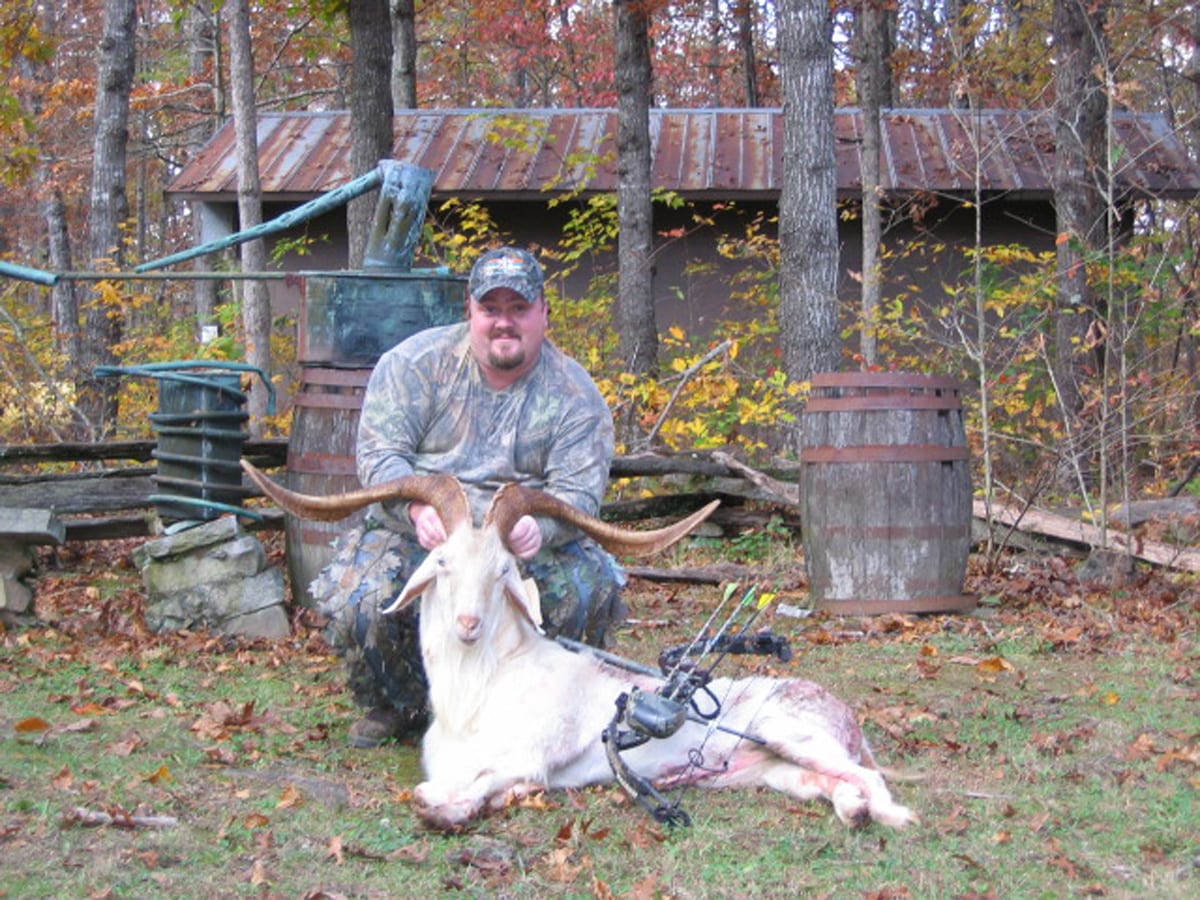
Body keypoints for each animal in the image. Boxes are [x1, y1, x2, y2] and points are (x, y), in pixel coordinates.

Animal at [242, 460, 917, 831]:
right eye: (441, 562)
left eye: (503, 570)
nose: (467, 623)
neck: (476, 698)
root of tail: (844, 713)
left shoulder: (531, 756)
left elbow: (455, 793)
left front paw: (468, 807)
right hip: (772, 771)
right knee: (835, 786)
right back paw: (853, 813)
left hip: (791, 734)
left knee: (869, 779)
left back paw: (891, 817)